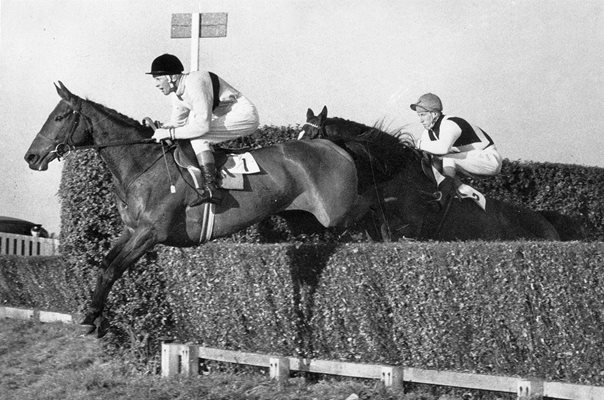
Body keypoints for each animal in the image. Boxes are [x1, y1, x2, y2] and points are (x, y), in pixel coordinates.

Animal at [24, 83, 406, 336]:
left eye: (60, 116)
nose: (31, 156)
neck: (142, 165)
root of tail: (333, 143)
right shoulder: (132, 231)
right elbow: (106, 264)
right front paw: (94, 315)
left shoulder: (150, 233)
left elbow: (112, 268)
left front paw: (91, 319)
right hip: (305, 219)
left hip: (335, 211)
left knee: (373, 207)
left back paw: (392, 234)